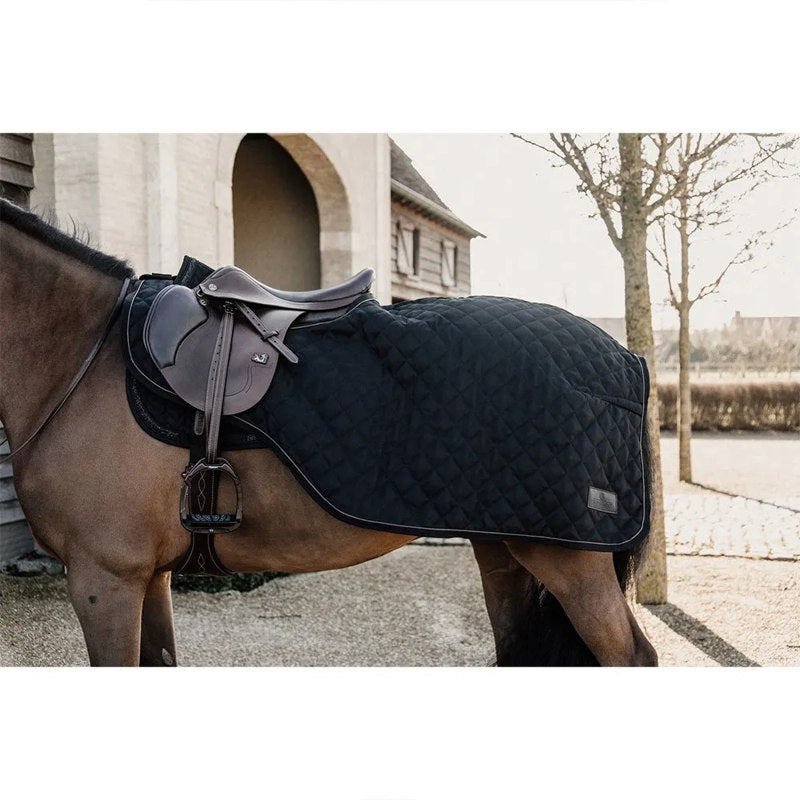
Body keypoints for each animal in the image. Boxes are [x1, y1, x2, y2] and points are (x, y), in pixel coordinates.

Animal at [0, 198, 657, 666]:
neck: (86, 357)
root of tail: (626, 361)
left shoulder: (104, 578)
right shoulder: (147, 576)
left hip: (571, 561)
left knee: (632, 657)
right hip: (505, 545)